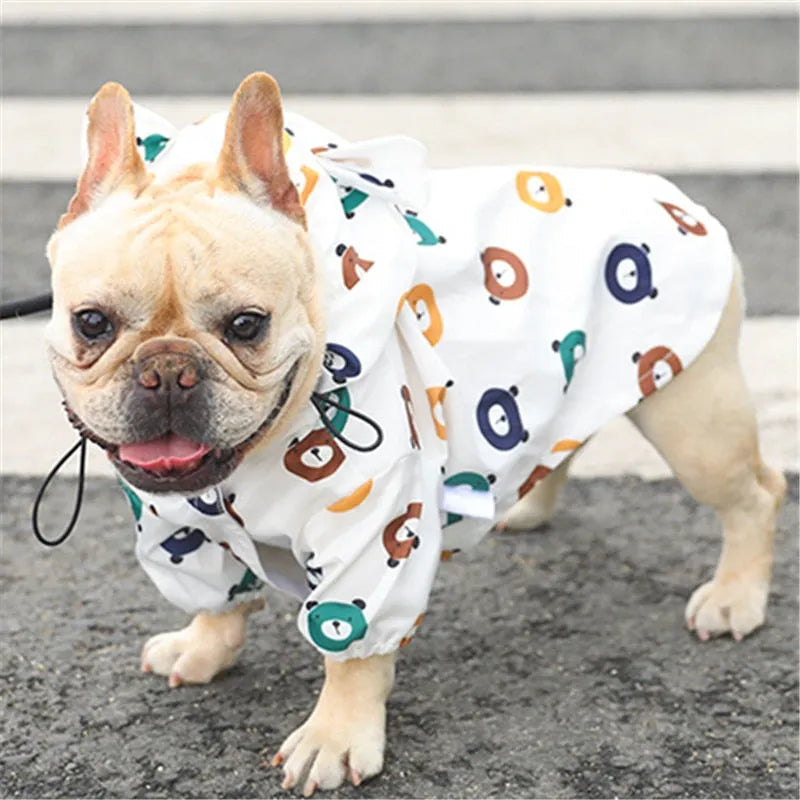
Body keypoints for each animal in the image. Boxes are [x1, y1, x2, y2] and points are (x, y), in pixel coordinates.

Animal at [47, 73, 784, 792]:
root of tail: (673, 196)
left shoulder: (371, 538)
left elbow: (351, 650)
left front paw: (335, 736)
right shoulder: (182, 529)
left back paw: (734, 597)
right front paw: (203, 647)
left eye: (246, 325)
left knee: (758, 494)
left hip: (695, 424)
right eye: (91, 323)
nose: (168, 370)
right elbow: (219, 598)